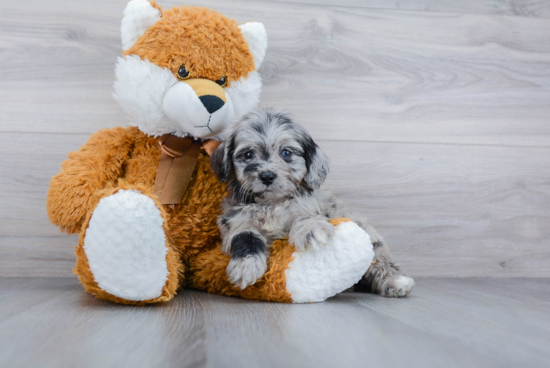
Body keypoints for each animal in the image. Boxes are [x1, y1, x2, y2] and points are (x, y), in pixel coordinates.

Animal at [211, 107, 414, 296]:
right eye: (248, 154)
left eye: (286, 153)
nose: (267, 176)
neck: (271, 203)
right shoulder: (235, 220)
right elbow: (245, 236)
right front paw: (245, 267)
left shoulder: (309, 206)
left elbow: (305, 216)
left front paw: (312, 231)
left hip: (372, 240)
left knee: (379, 261)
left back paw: (396, 280)